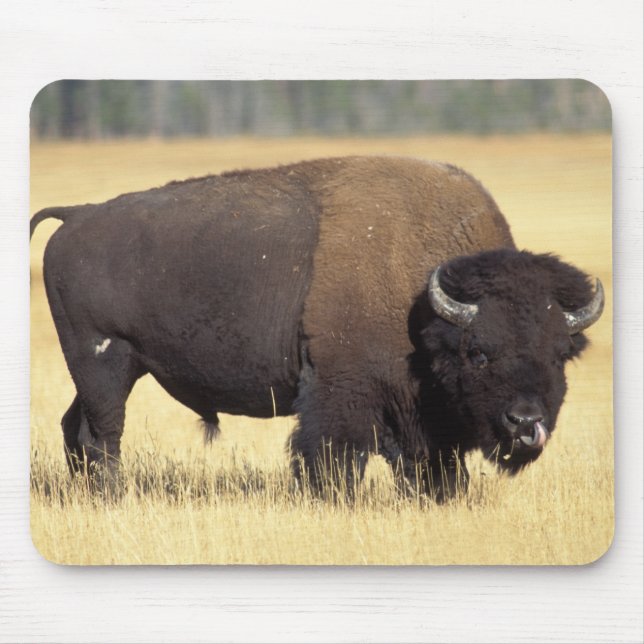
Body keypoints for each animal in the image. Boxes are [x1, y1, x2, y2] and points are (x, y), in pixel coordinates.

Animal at [30, 156, 604, 501]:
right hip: (104, 362)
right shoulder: (341, 391)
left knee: (75, 427)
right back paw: (111, 495)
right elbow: (333, 456)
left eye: (560, 354)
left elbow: (431, 466)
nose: (526, 423)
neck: (422, 295)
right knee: (103, 434)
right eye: (479, 352)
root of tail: (77, 216)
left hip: (114, 369)